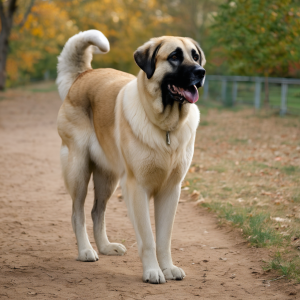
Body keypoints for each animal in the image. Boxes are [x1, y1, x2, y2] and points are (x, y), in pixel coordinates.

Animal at [55, 29, 206, 284]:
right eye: (174, 56)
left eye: (195, 56)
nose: (201, 72)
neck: (165, 127)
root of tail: (84, 74)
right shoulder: (137, 188)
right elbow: (148, 239)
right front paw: (153, 271)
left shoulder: (171, 191)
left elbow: (164, 239)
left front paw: (168, 268)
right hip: (79, 170)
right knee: (78, 213)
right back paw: (86, 250)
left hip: (108, 178)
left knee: (97, 211)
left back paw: (106, 247)